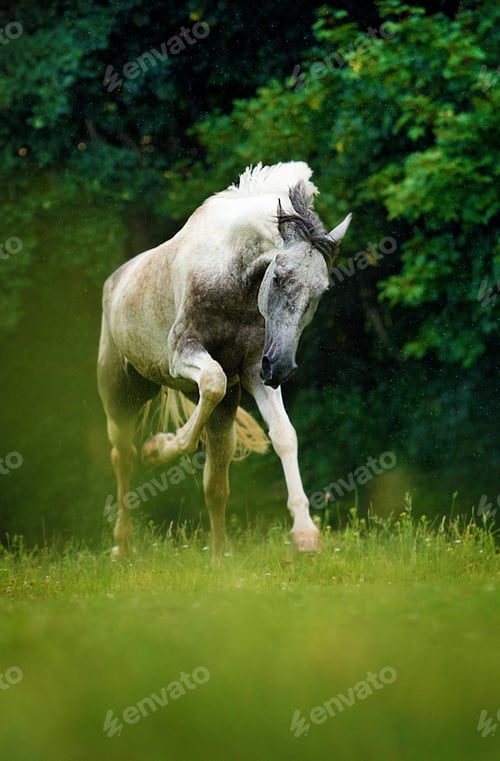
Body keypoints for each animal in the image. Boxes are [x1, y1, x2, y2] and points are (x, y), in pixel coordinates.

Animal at [97, 161, 351, 558]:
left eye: (320, 291)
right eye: (278, 277)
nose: (281, 366)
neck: (231, 279)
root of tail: (115, 281)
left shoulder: (253, 372)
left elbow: (284, 435)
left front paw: (306, 533)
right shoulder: (183, 353)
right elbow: (213, 381)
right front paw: (159, 448)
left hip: (221, 417)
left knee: (215, 484)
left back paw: (220, 557)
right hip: (120, 397)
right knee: (122, 456)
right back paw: (122, 546)